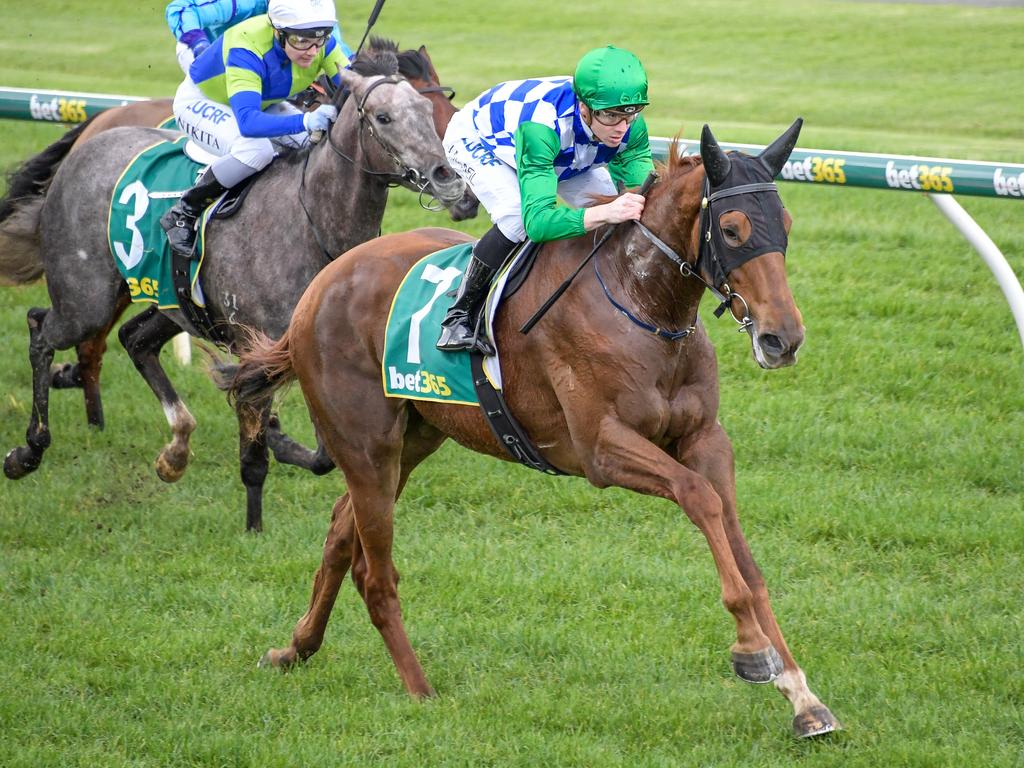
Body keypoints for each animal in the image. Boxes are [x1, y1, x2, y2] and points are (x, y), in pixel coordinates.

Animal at [0, 54, 464, 536]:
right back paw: (28, 450)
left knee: (134, 339)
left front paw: (275, 442)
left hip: (171, 300)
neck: (312, 221)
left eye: (428, 112)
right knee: (41, 327)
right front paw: (254, 523)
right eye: (384, 117)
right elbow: (259, 443)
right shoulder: (256, 344)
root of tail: (87, 141)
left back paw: (174, 452)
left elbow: (321, 456)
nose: (448, 178)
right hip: (86, 298)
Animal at [222, 120, 839, 741]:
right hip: (366, 445)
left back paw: (296, 648)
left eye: (785, 225)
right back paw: (420, 690)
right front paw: (751, 650)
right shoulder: (602, 449)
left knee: (338, 532)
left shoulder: (706, 440)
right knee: (375, 574)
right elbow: (699, 498)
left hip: (412, 438)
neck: (640, 300)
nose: (783, 339)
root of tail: (319, 287)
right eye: (733, 229)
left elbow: (741, 548)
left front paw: (801, 695)